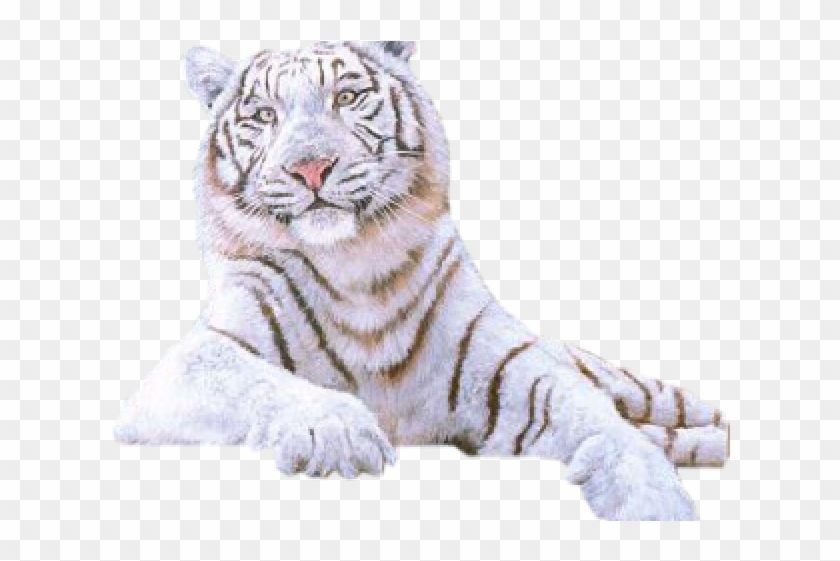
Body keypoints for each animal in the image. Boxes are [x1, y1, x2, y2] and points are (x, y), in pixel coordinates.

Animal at [114, 40, 729, 520]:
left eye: (346, 98)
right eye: (263, 115)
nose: (310, 168)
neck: (353, 263)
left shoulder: (510, 362)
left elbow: (594, 416)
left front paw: (653, 501)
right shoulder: (195, 360)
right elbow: (265, 383)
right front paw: (340, 434)